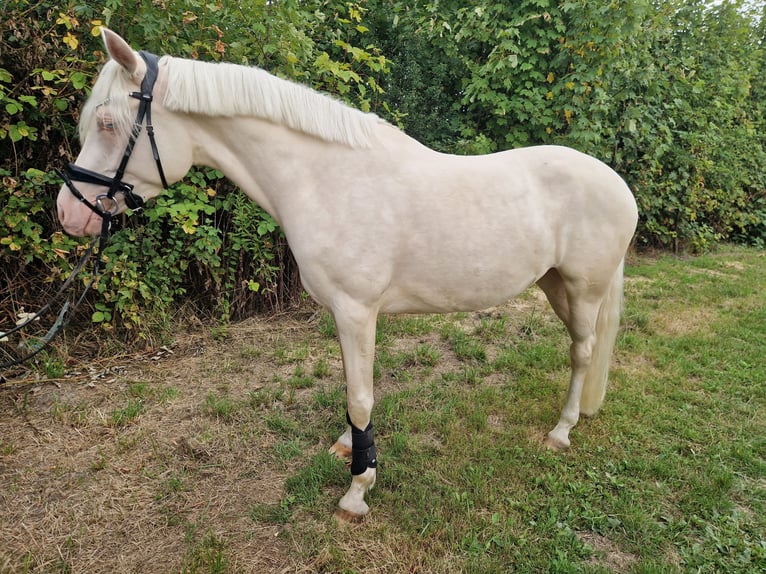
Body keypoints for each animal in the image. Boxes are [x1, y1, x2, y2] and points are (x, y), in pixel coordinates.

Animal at [56, 29, 638, 522]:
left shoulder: (357, 311)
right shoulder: (346, 315)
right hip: (554, 284)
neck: (327, 179)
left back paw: (561, 431)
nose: (69, 213)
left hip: (584, 290)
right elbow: (353, 389)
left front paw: (358, 490)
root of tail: (617, 183)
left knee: (583, 352)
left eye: (108, 123)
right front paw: (348, 448)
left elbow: (361, 397)